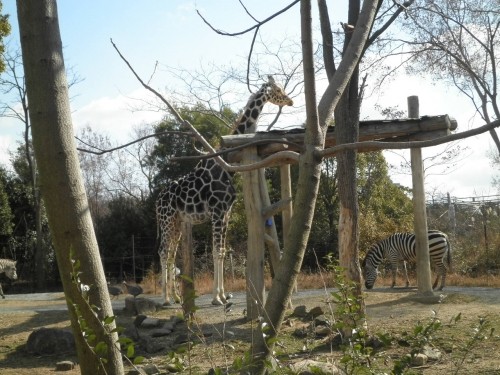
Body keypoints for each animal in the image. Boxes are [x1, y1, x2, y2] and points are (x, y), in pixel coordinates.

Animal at [156, 75, 292, 306]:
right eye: (278, 90)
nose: (290, 101)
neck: (225, 167)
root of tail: (156, 202)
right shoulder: (218, 212)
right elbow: (215, 252)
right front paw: (216, 298)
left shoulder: (226, 213)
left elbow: (221, 251)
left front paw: (222, 294)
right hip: (166, 221)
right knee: (164, 252)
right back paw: (165, 299)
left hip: (176, 223)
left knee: (172, 253)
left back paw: (176, 297)